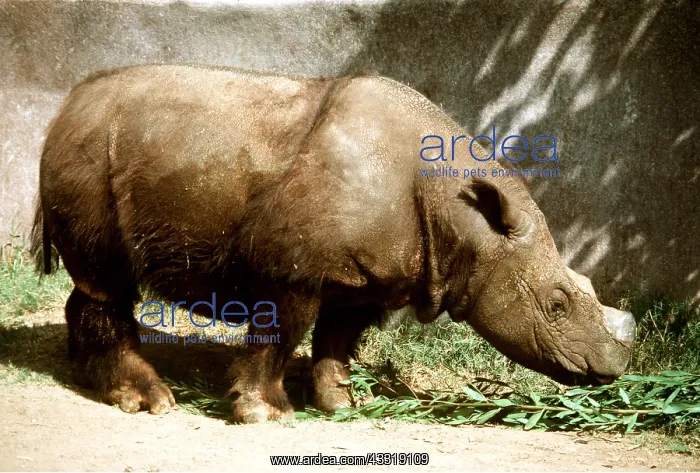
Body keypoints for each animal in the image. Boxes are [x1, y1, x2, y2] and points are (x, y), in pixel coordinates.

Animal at [31, 64, 636, 423]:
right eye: (556, 304)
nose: (614, 366)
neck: (463, 219)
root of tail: (63, 107)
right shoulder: (292, 268)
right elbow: (283, 334)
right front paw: (264, 414)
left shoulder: (372, 276)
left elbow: (337, 340)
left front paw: (339, 403)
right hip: (90, 157)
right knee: (108, 280)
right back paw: (149, 401)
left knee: (96, 285)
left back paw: (93, 381)